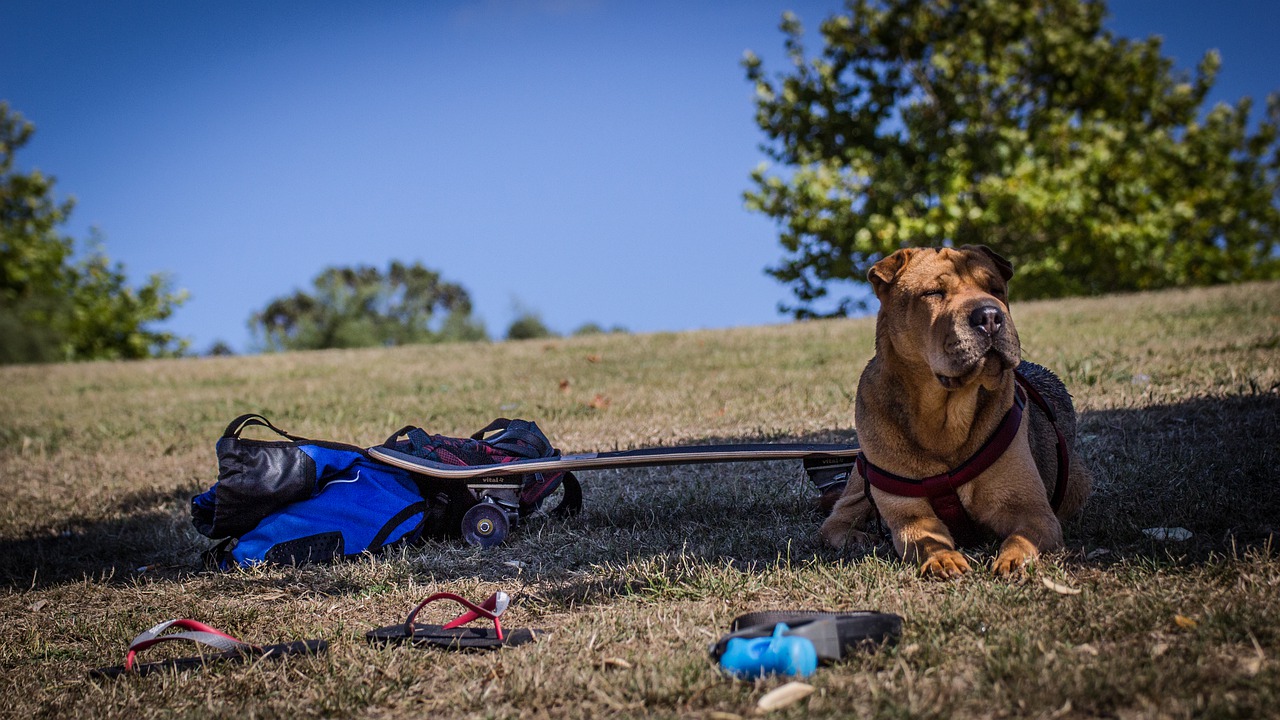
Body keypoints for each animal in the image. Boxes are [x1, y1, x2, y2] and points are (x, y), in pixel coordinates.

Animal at [819, 243, 1090, 573]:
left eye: (995, 289)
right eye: (934, 293)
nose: (990, 316)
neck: (944, 419)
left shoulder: (1033, 510)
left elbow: (1022, 536)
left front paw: (1012, 560)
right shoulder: (911, 517)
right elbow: (926, 540)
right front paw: (943, 559)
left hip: (1077, 481)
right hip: (862, 478)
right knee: (835, 519)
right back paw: (857, 537)